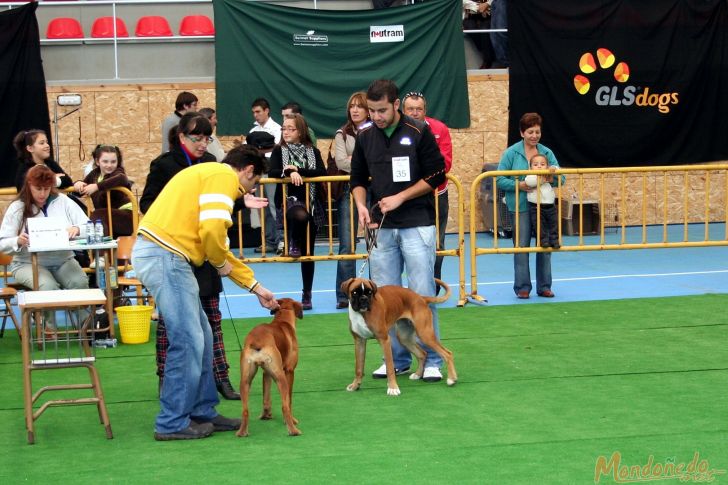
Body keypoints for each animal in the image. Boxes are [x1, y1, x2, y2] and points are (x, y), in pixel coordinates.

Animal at [235, 296, 300, 436]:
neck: (282, 321)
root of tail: (257, 340)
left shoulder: (266, 373)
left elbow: (266, 397)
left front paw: (266, 415)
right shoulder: (289, 371)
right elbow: (289, 400)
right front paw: (292, 420)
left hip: (245, 381)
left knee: (245, 410)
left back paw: (242, 432)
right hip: (281, 379)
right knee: (285, 406)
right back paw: (293, 430)